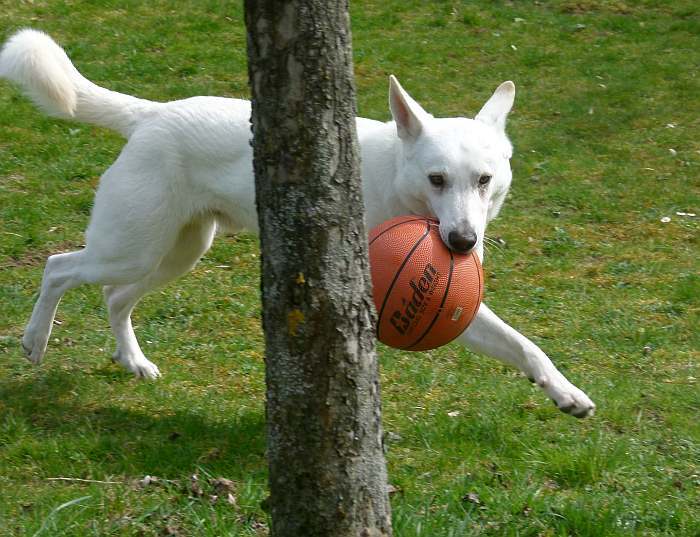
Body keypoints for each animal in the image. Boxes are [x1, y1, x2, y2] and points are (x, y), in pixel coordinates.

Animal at [0, 29, 592, 416]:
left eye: (485, 180)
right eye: (437, 179)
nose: (463, 242)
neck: (395, 186)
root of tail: (152, 114)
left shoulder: (458, 305)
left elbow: (525, 345)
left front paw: (567, 394)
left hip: (175, 253)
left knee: (114, 298)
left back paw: (133, 361)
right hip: (130, 248)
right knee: (58, 268)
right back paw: (34, 341)